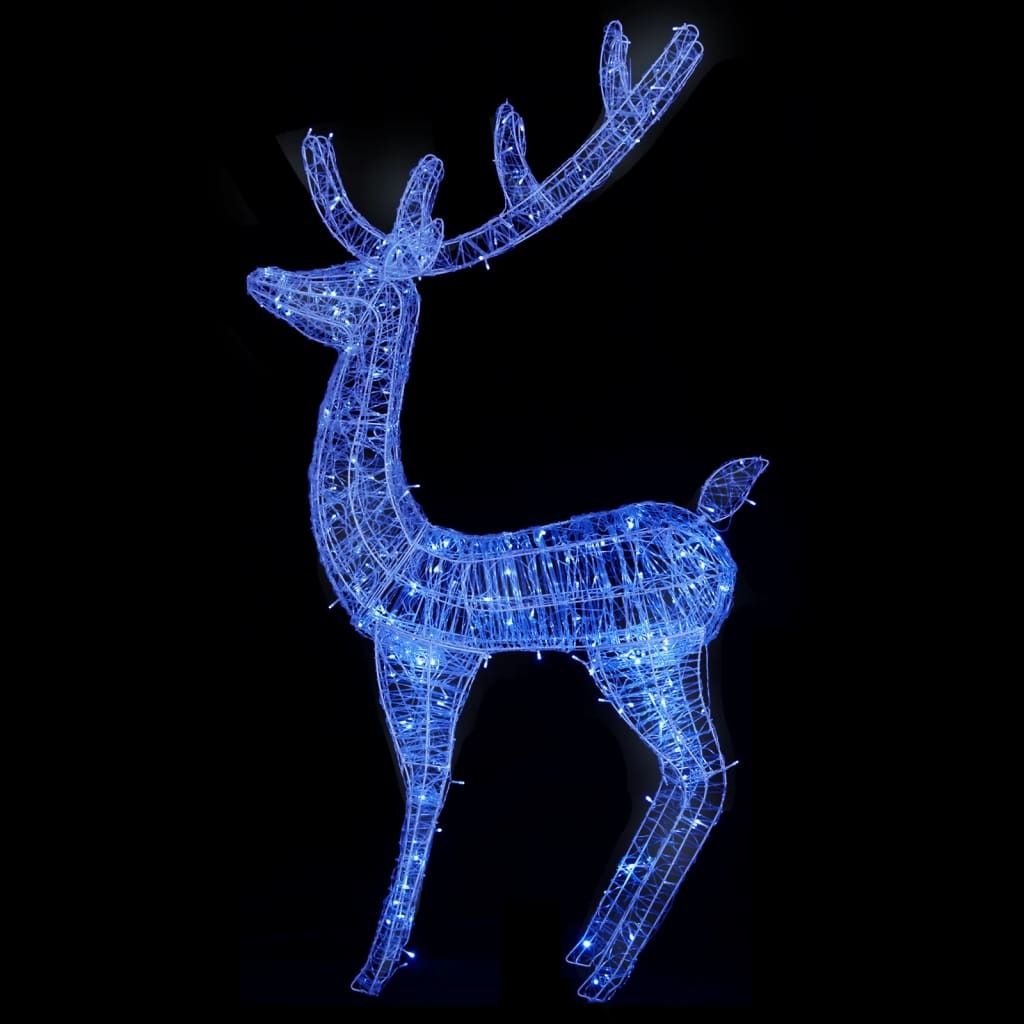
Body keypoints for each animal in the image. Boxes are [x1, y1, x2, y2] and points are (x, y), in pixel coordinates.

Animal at [246, 18, 765, 1004]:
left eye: (345, 278)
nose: (261, 277)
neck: (398, 550)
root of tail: (714, 525)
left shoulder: (421, 656)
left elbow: (422, 797)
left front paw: (375, 969)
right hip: (660, 658)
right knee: (691, 776)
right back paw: (589, 949)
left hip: (641, 654)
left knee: (701, 778)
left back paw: (606, 974)